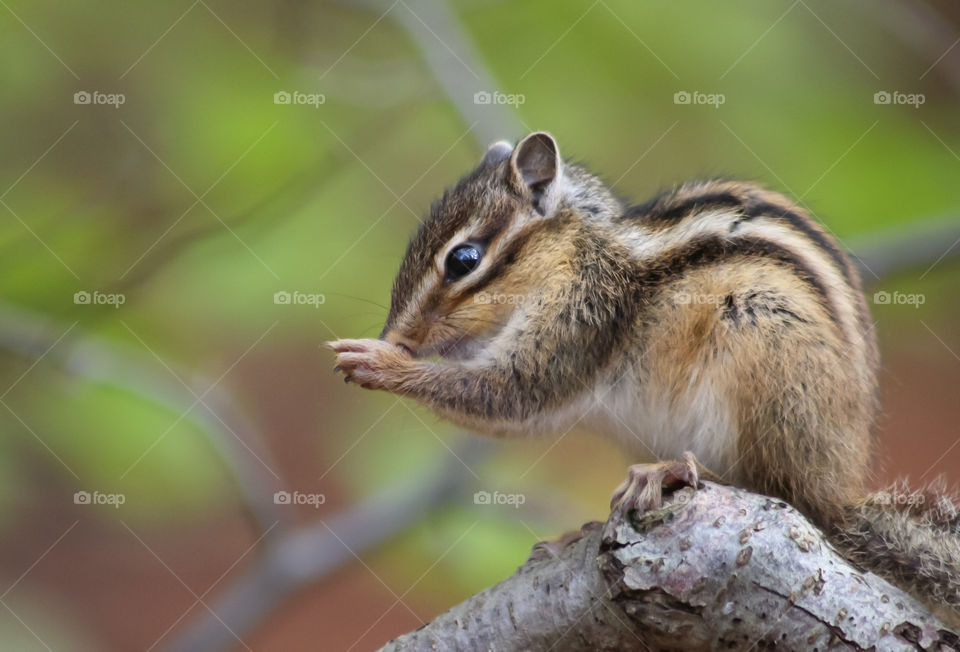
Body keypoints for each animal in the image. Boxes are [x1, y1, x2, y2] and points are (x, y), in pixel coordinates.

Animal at [328, 131, 960, 625]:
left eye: (463, 260)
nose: (399, 335)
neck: (576, 253)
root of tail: (840, 490)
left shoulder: (582, 316)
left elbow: (513, 394)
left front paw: (379, 361)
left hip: (765, 347)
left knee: (779, 491)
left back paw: (675, 470)